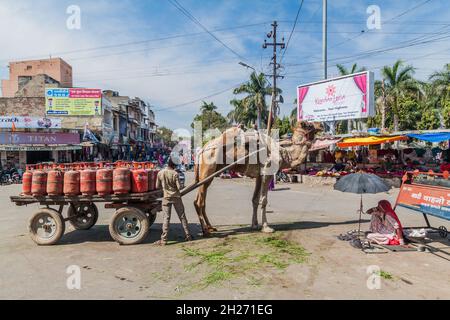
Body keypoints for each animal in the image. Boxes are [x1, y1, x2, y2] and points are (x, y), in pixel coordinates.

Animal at [192, 121, 320, 236]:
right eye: (308, 124)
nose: (321, 125)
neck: (283, 153)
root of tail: (202, 150)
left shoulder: (259, 176)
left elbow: (254, 199)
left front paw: (255, 225)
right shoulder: (267, 173)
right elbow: (263, 200)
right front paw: (266, 227)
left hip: (207, 176)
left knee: (200, 200)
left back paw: (210, 227)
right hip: (207, 171)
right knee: (199, 201)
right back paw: (205, 231)